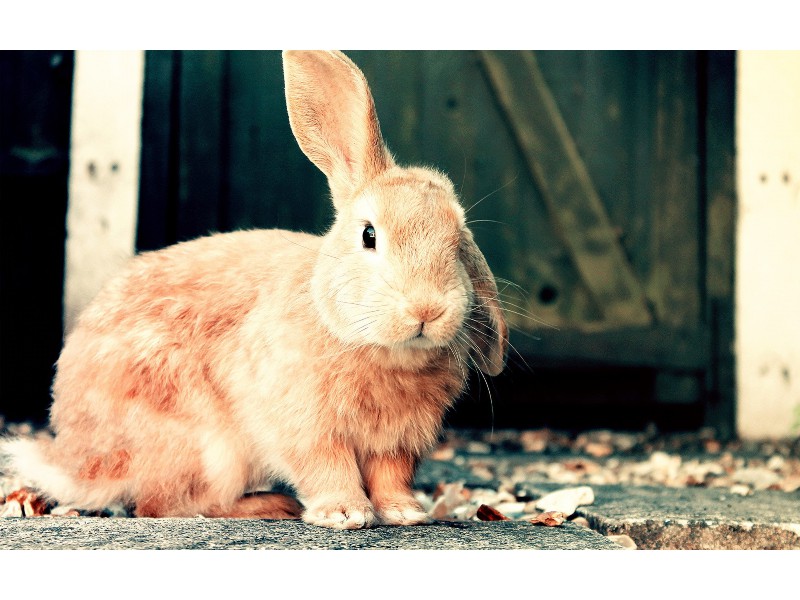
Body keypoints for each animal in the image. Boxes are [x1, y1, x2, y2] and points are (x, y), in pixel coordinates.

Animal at [0, 52, 506, 528]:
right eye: (369, 235)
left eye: (458, 239)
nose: (427, 309)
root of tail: (83, 462)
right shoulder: (303, 427)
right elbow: (327, 468)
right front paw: (344, 514)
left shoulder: (396, 444)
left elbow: (389, 477)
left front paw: (404, 512)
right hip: (208, 447)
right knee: (162, 503)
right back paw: (274, 506)